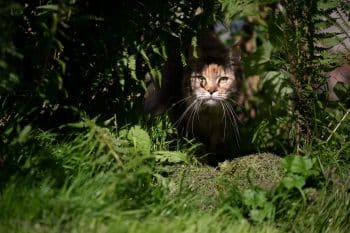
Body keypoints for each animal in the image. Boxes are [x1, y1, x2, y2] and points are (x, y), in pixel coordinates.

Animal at [144, 29, 242, 164]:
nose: (211, 90)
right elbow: (196, 144)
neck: (208, 115)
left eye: (223, 79)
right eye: (201, 78)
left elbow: (218, 142)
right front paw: (201, 159)